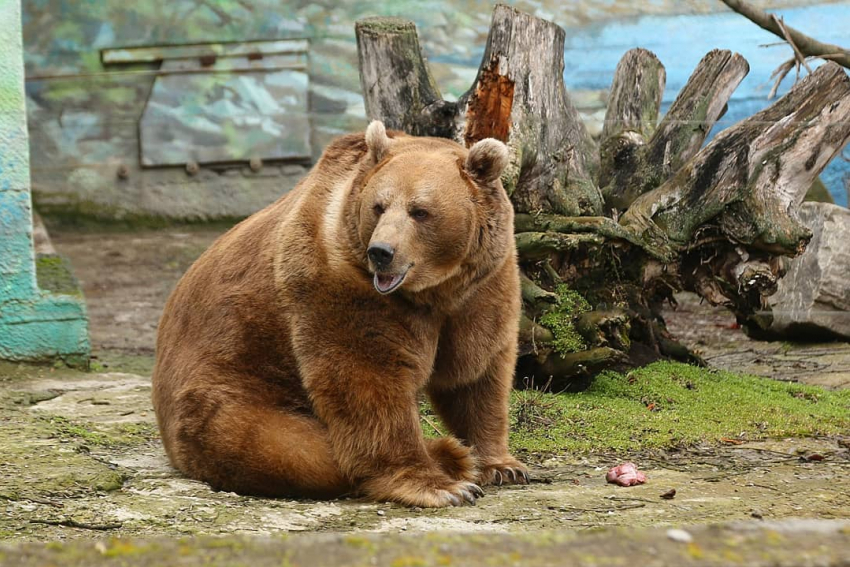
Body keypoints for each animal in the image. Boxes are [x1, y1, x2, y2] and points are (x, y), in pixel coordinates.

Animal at [151, 122, 524, 508]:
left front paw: (501, 465)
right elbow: (368, 378)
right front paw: (442, 486)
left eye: (420, 210)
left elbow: (476, 371)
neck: (432, 290)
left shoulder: (483, 285)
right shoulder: (336, 279)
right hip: (228, 388)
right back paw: (449, 455)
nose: (381, 252)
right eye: (379, 206)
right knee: (295, 451)